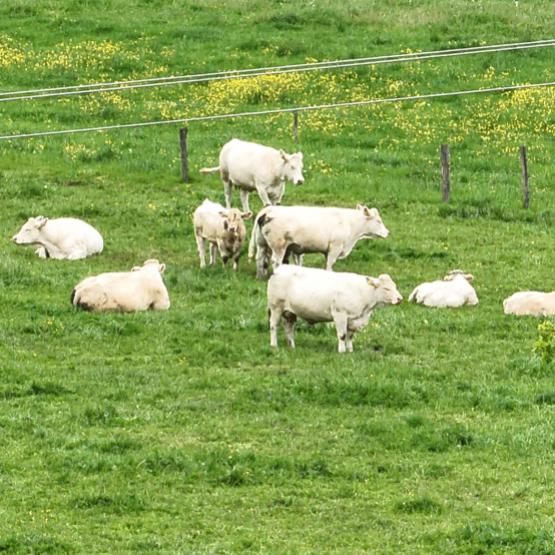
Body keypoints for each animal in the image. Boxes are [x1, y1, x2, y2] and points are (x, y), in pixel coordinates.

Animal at [250, 205, 388, 280]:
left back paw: (259, 276)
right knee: (275, 261)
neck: (349, 223)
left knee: (260, 258)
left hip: (261, 243)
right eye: (379, 221)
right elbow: (330, 264)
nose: (387, 232)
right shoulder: (335, 247)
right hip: (279, 246)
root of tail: (267, 210)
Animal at [268, 266, 402, 354]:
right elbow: (342, 335)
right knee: (274, 326)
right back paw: (274, 345)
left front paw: (350, 350)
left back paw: (291, 346)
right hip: (276, 307)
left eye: (395, 286)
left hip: (289, 312)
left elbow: (350, 336)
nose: (400, 299)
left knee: (289, 328)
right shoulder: (340, 314)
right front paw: (342, 352)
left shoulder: (353, 319)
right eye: (386, 288)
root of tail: (280, 268)